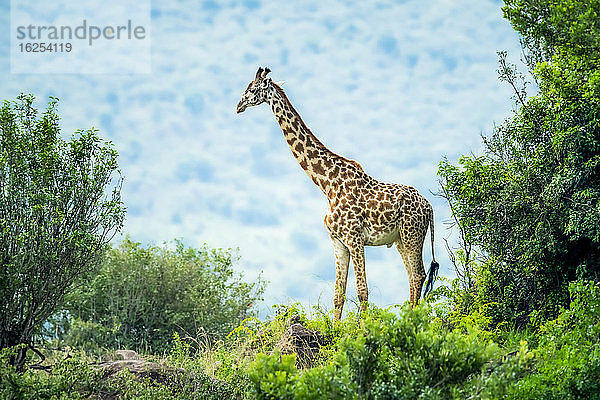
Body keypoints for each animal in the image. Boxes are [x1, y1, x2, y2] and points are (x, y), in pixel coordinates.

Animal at [237, 67, 438, 320]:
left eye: (253, 90)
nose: (238, 105)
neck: (327, 185)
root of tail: (429, 207)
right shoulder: (338, 242)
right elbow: (338, 295)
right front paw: (335, 327)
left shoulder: (355, 238)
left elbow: (362, 291)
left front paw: (365, 327)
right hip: (401, 239)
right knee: (413, 276)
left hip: (412, 235)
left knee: (418, 274)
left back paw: (414, 321)